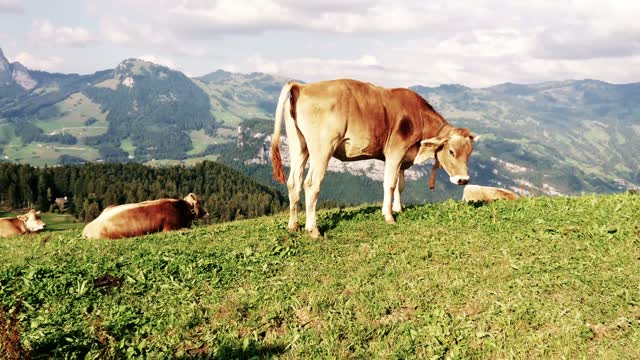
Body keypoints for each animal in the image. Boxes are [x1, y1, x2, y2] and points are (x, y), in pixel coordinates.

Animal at [270, 78, 476, 236]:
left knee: (294, 183)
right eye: (451, 151)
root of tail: (302, 86)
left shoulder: (403, 158)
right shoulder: (395, 152)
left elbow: (400, 185)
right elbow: (390, 184)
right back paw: (313, 229)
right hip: (322, 148)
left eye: (470, 152)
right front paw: (389, 216)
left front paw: (398, 208)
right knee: (311, 184)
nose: (463, 179)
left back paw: (293, 225)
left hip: (299, 146)